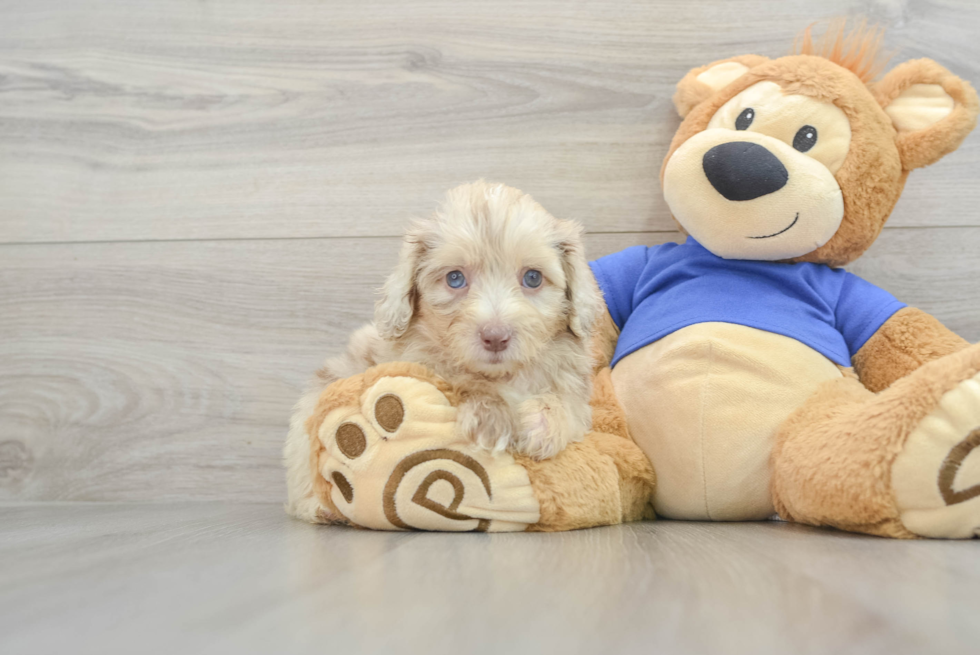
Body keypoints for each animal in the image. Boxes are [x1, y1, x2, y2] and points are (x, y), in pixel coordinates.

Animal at [284, 184, 600, 524]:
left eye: (533, 278)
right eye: (455, 278)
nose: (495, 337)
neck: (502, 375)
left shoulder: (571, 379)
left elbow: (567, 401)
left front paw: (542, 425)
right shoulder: (418, 361)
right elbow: (457, 379)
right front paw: (490, 416)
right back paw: (318, 507)